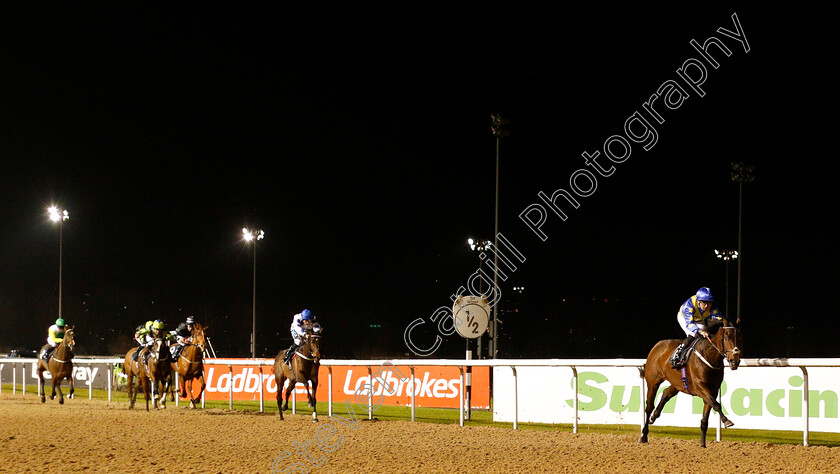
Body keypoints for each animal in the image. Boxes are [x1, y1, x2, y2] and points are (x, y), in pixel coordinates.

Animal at [636, 318, 740, 448]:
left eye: (738, 337)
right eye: (726, 338)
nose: (735, 361)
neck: (708, 356)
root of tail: (657, 345)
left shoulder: (713, 390)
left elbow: (706, 416)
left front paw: (703, 444)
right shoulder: (700, 387)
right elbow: (716, 404)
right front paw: (727, 421)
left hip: (677, 383)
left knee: (666, 393)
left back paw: (654, 417)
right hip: (653, 382)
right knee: (649, 407)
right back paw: (644, 436)